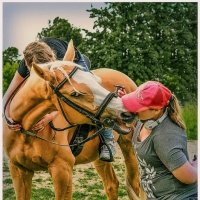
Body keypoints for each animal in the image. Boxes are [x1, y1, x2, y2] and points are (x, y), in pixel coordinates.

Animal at [3, 41, 145, 200]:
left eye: (97, 82)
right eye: (75, 94)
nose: (127, 112)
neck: (26, 132)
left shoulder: (62, 171)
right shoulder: (19, 171)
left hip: (129, 147)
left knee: (134, 185)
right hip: (99, 157)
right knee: (111, 184)